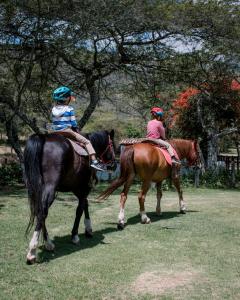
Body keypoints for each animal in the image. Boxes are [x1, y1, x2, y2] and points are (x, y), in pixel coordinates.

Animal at [23, 129, 116, 262]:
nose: (114, 164)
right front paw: (75, 235)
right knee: (42, 212)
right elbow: (80, 209)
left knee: (38, 211)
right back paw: (32, 250)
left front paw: (88, 229)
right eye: (113, 145)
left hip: (36, 189)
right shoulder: (84, 187)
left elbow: (85, 205)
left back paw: (48, 243)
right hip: (49, 189)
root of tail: (43, 137)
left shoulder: (77, 188)